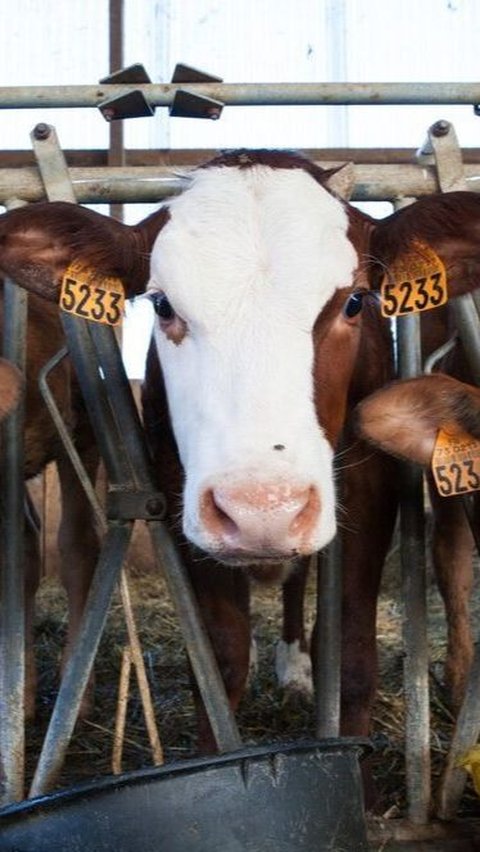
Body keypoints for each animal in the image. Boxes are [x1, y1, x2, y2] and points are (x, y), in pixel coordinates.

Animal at [0, 150, 480, 776]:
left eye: (353, 301)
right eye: (162, 304)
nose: (262, 511)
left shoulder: (371, 487)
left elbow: (352, 657)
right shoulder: (178, 489)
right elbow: (220, 663)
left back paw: (297, 666)